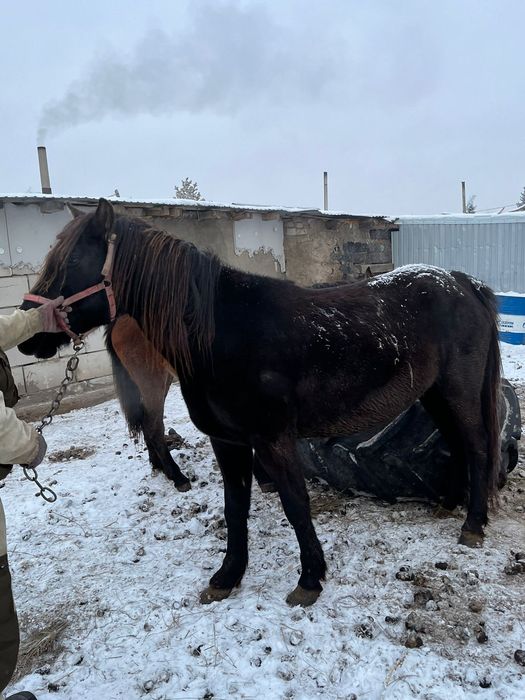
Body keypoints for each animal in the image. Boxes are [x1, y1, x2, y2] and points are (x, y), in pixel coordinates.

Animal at [19, 198, 502, 607]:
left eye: (72, 262)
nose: (28, 337)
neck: (222, 333)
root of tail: (462, 283)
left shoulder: (274, 440)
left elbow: (295, 504)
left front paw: (310, 579)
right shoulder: (228, 442)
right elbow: (235, 508)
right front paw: (228, 576)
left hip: (457, 391)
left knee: (477, 446)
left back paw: (473, 524)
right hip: (434, 393)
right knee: (457, 444)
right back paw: (449, 505)